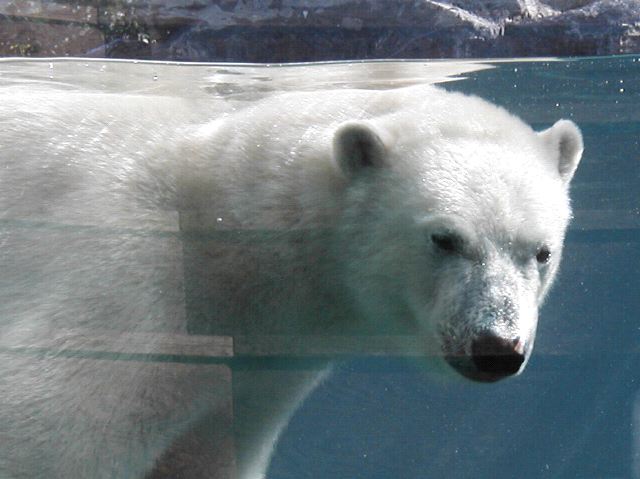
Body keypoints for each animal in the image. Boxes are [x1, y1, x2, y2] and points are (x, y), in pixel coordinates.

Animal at [0, 84, 580, 478]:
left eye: (541, 252)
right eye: (444, 239)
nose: (496, 346)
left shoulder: (254, 377)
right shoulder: (128, 280)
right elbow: (46, 432)